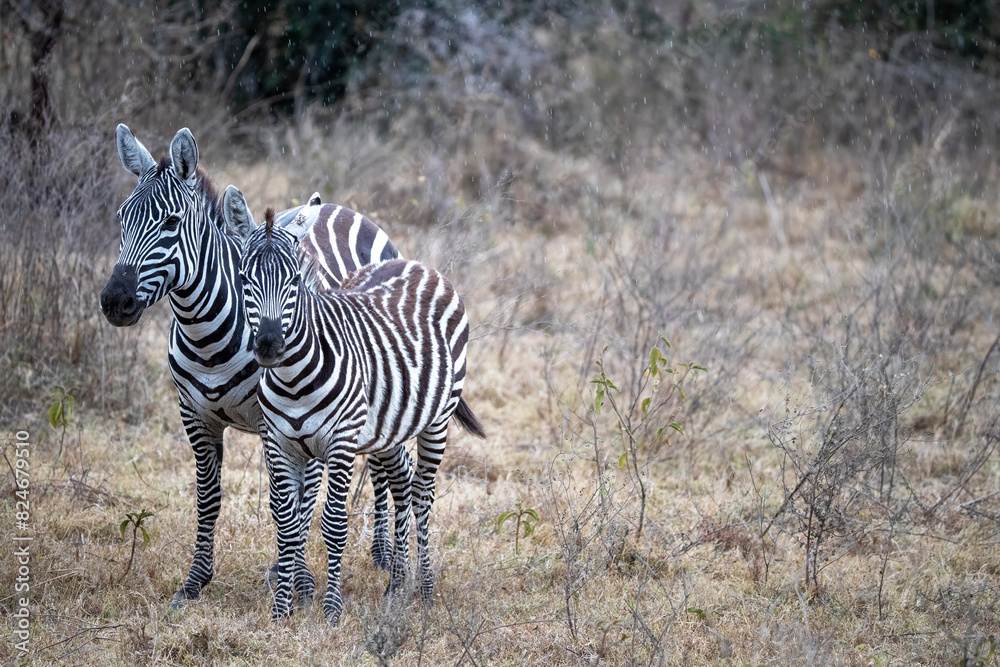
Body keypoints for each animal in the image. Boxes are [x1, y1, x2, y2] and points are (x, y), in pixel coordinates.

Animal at [99, 125, 401, 607]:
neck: (207, 337)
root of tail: (339, 208)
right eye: (121, 217)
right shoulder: (195, 416)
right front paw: (195, 582)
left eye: (171, 223)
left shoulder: (270, 419)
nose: (115, 302)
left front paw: (299, 583)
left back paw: (382, 555)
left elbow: (284, 504)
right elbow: (209, 498)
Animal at [225, 186, 486, 621]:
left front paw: (331, 610)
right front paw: (282, 610)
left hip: (438, 418)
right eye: (244, 278)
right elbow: (286, 522)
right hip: (390, 425)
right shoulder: (279, 443)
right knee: (402, 482)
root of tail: (416, 264)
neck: (292, 378)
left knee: (423, 494)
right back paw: (396, 584)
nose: (269, 346)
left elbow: (333, 523)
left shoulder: (341, 442)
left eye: (294, 280)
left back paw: (425, 590)